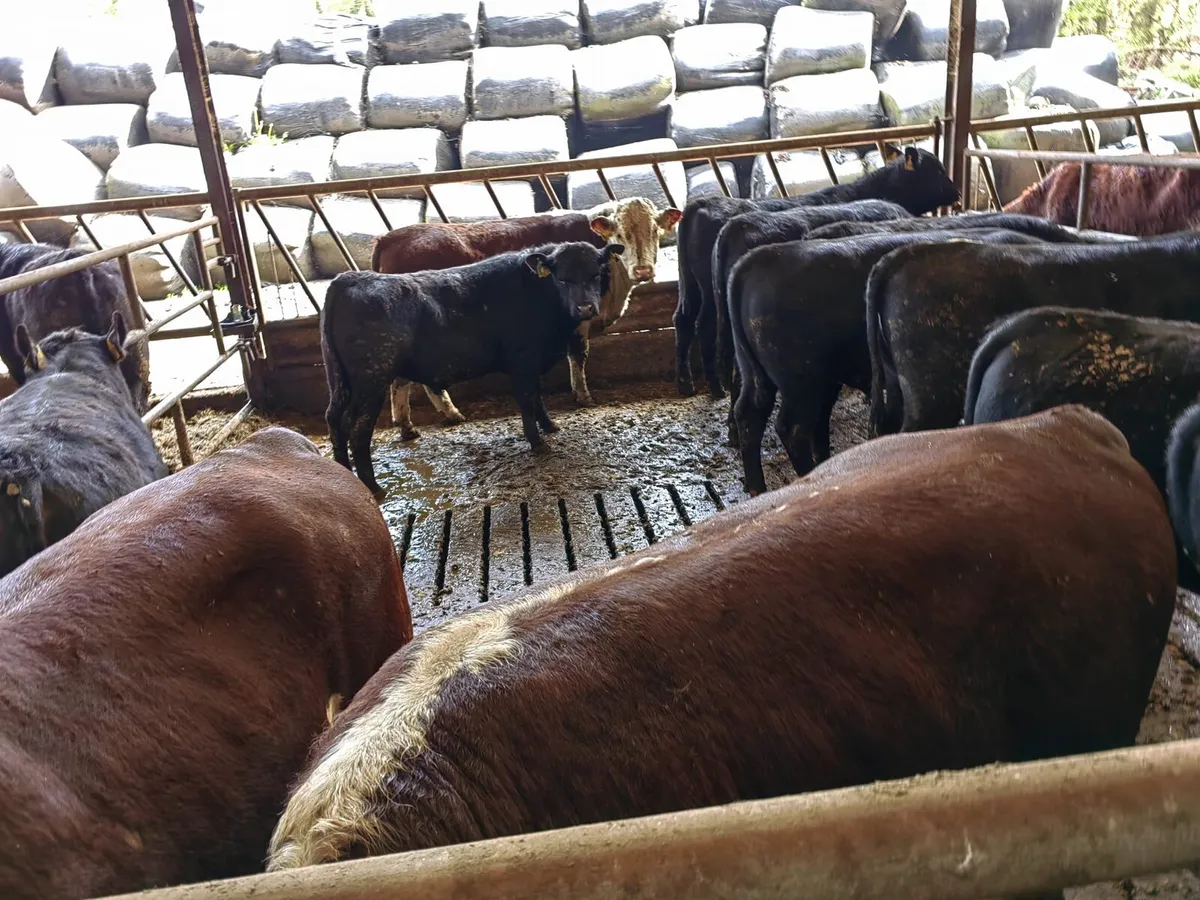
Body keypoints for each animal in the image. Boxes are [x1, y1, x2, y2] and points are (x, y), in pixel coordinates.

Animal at [324, 241, 623, 500]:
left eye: (596, 274)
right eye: (562, 279)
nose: (585, 307)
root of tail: (349, 279)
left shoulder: (532, 363)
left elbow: (537, 397)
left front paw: (550, 426)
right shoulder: (523, 360)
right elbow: (527, 399)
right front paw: (538, 442)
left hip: (340, 382)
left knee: (335, 420)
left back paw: (344, 478)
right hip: (371, 381)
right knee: (357, 430)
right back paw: (374, 489)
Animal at [371, 197, 681, 428]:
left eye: (655, 232)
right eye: (619, 234)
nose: (643, 270)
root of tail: (390, 237)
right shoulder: (578, 315)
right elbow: (578, 354)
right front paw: (583, 396)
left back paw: (408, 423)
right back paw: (443, 414)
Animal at [674, 145, 958, 399]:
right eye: (938, 170)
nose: (956, 192)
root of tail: (703, 203)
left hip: (692, 286)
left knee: (684, 320)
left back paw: (688, 384)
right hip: (710, 293)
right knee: (704, 326)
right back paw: (714, 388)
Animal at [729, 229, 1044, 495]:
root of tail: (755, 260)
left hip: (760, 374)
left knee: (750, 413)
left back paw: (758, 486)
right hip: (801, 380)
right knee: (792, 427)